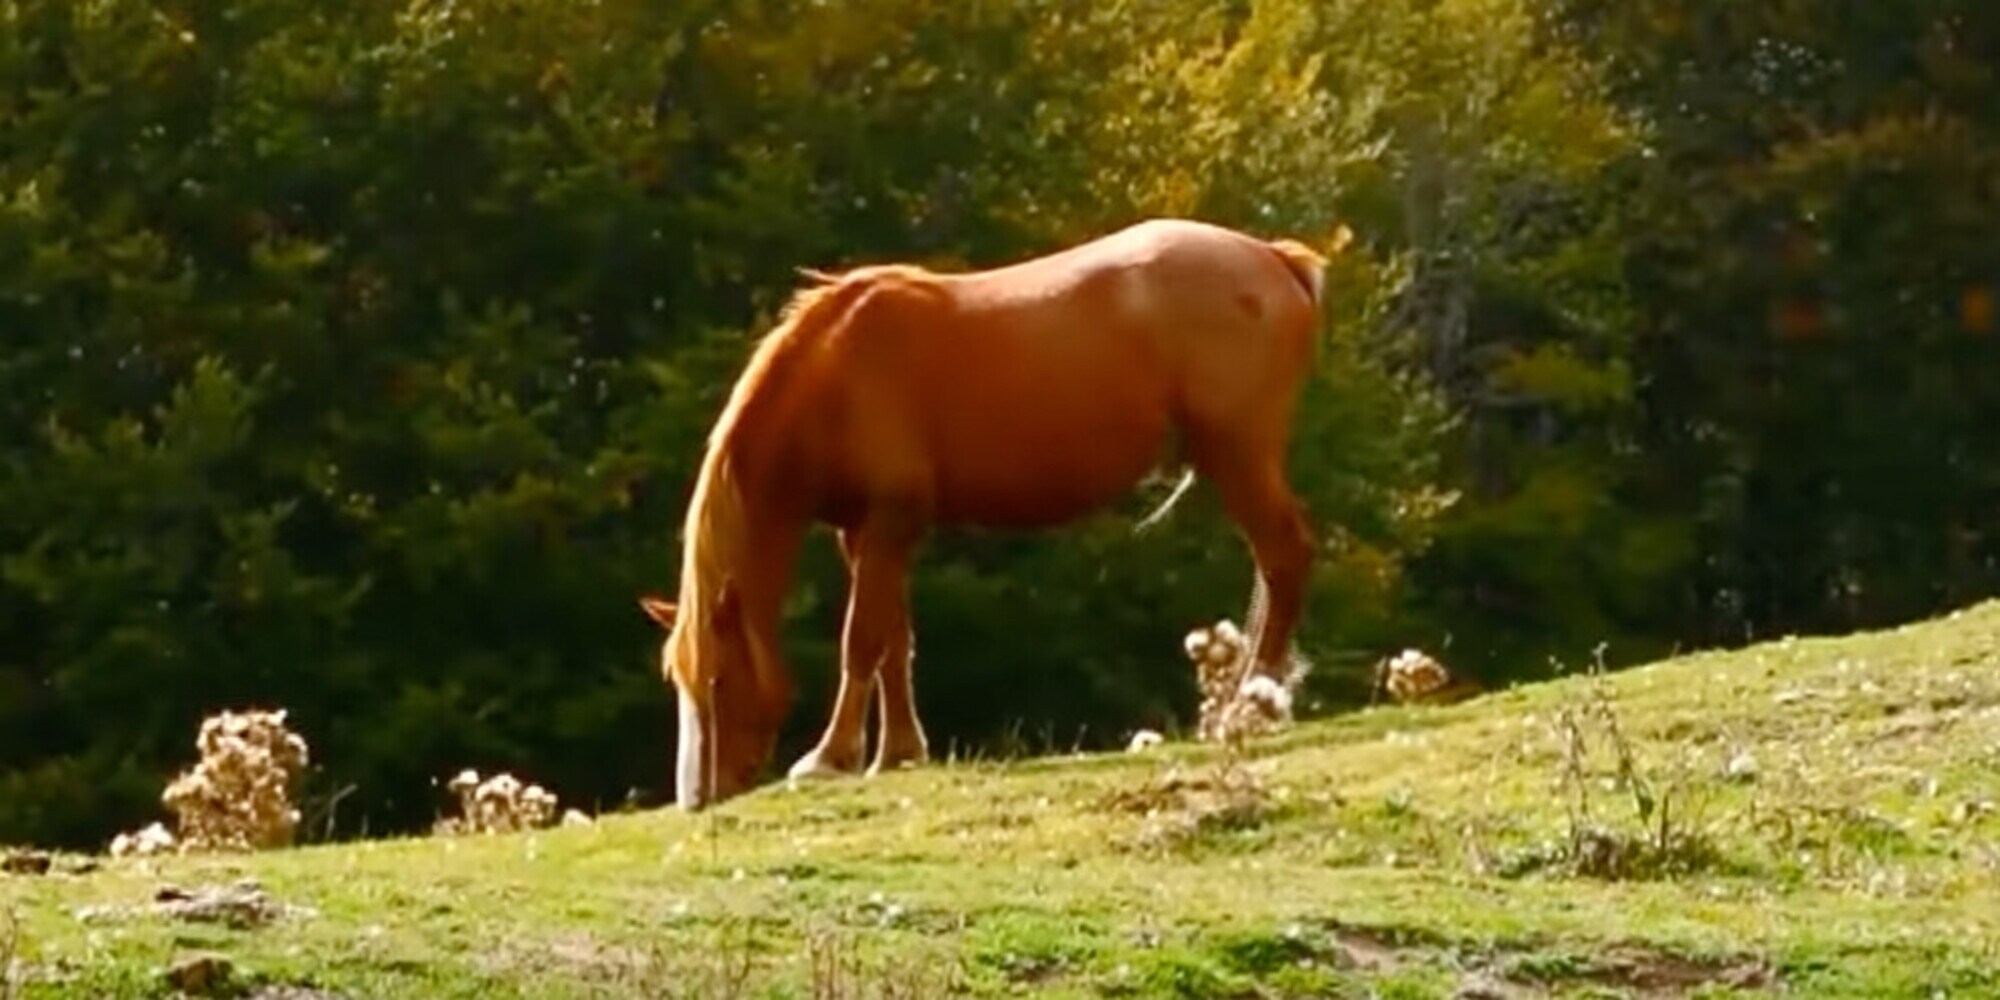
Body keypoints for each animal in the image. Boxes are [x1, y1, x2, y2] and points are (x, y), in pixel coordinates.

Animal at [638, 217, 1346, 810]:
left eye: (719, 680)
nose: (697, 798)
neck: (837, 373)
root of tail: (1275, 259)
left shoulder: (890, 522)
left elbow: (861, 639)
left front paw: (830, 758)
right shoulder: (869, 533)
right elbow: (894, 641)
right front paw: (899, 753)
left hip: (1239, 452)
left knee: (1284, 558)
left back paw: (1254, 705)